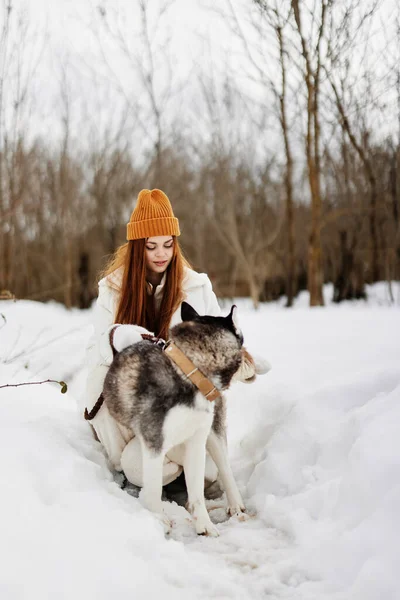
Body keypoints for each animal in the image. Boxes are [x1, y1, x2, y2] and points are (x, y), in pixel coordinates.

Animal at [104, 302, 250, 536]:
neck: (190, 372)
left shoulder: (196, 442)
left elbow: (197, 491)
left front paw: (204, 525)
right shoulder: (154, 443)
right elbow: (154, 488)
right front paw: (157, 520)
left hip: (212, 434)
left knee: (224, 466)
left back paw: (235, 503)